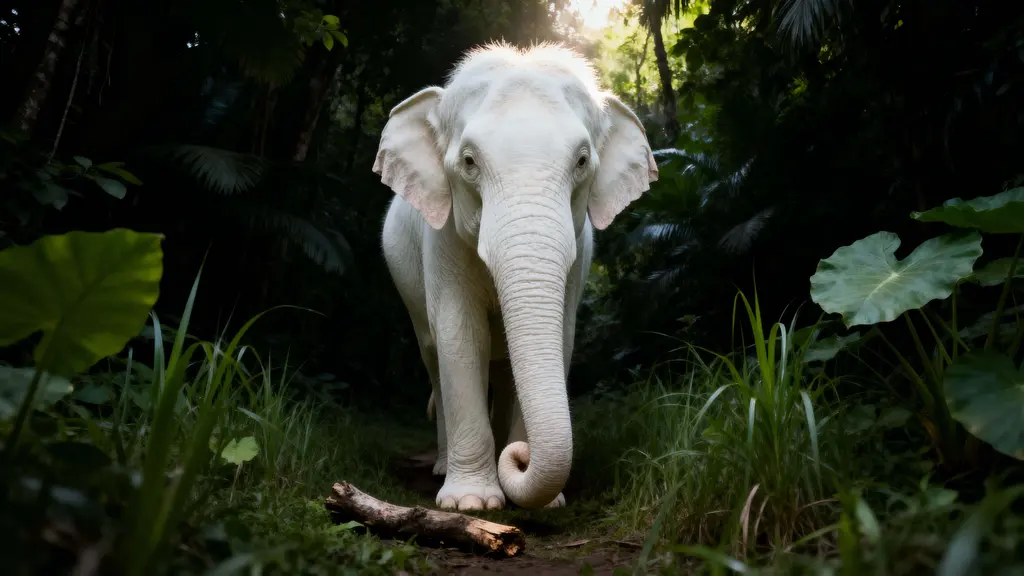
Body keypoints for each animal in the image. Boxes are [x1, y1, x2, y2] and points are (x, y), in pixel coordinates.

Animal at [375, 42, 658, 511]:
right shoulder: (442, 242)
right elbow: (460, 334)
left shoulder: (579, 255)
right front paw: (470, 504)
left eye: (582, 161)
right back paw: (442, 469)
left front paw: (549, 502)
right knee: (434, 357)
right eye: (469, 162)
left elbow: (561, 336)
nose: (521, 457)